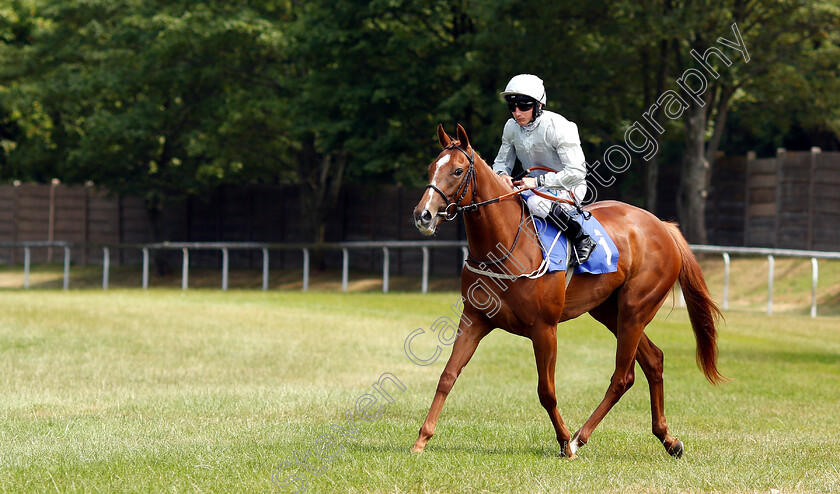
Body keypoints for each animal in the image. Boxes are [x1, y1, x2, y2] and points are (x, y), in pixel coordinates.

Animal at [412, 124, 720, 460]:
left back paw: (577, 439)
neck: (506, 245)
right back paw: (667, 438)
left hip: (635, 310)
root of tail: (664, 227)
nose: (423, 215)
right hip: (610, 312)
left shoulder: (544, 329)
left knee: (622, 377)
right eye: (431, 167)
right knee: (653, 360)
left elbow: (546, 391)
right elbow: (447, 376)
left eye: (457, 170)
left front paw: (563, 442)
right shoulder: (474, 320)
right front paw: (422, 439)